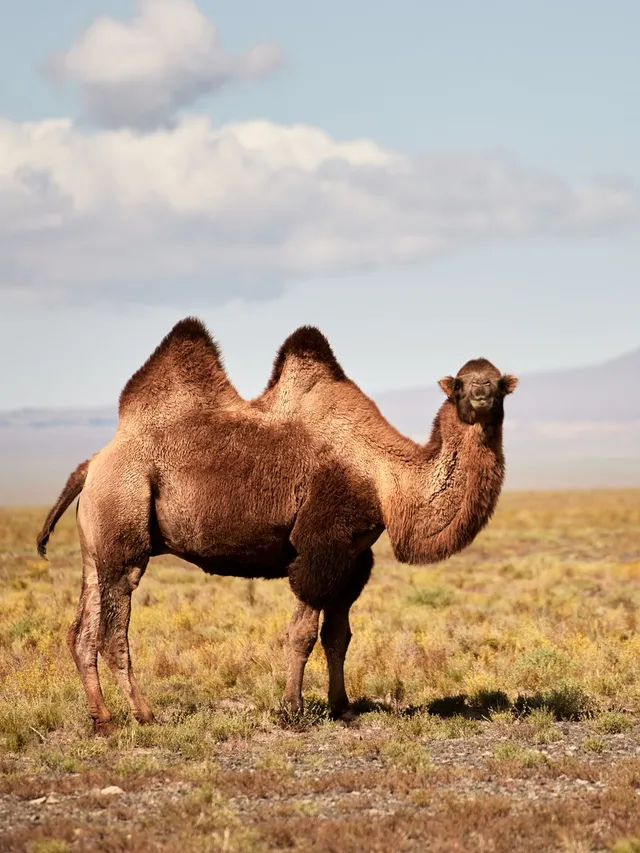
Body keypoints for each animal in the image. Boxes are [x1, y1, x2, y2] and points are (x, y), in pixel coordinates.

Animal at [36, 318, 518, 732]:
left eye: (498, 383)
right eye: (460, 384)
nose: (480, 394)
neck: (384, 479)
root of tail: (93, 464)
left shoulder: (354, 556)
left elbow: (338, 636)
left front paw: (343, 709)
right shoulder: (319, 546)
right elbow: (301, 634)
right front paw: (292, 709)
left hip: (95, 549)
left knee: (81, 632)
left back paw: (103, 720)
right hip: (124, 522)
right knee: (113, 633)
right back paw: (144, 715)